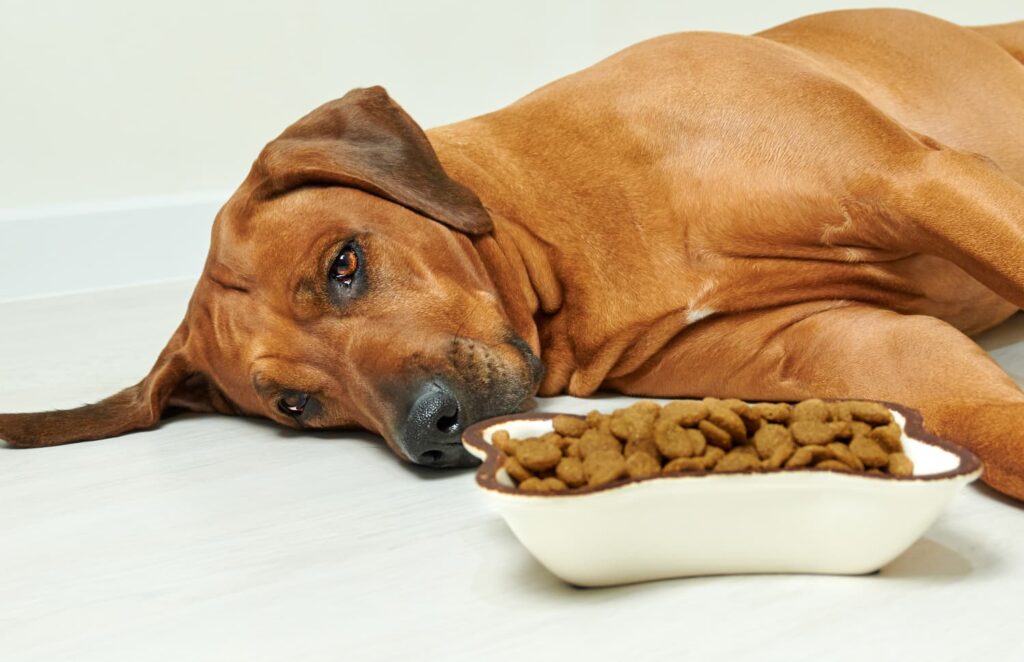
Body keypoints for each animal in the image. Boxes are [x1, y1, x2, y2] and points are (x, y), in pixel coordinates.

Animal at [2, 9, 1024, 498]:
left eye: (344, 265)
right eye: (296, 406)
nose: (429, 428)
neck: (579, 234)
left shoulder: (922, 179)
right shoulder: (847, 345)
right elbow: (977, 415)